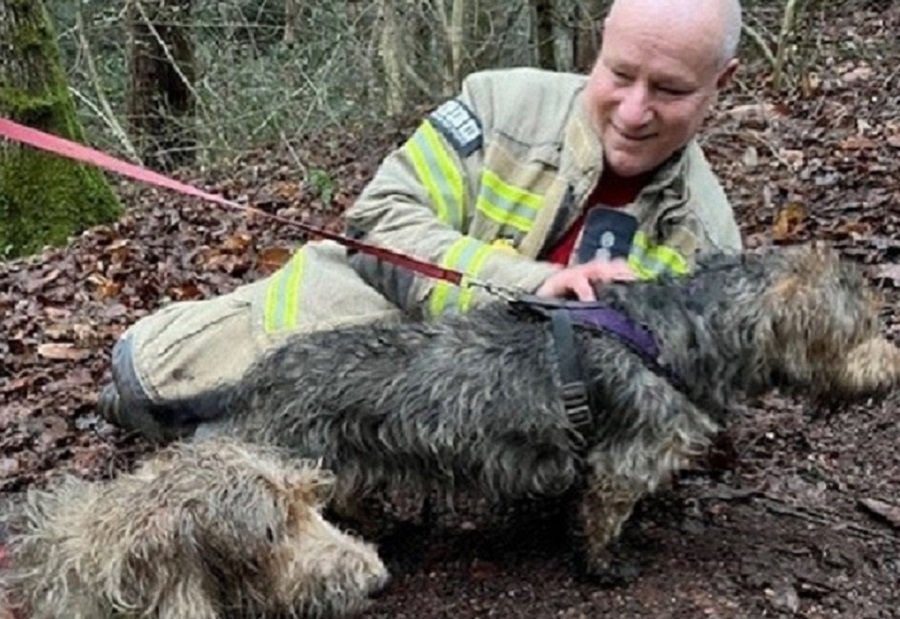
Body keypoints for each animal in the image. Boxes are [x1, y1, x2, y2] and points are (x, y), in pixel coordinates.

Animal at [199, 245, 900, 580]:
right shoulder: (624, 466)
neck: (678, 331)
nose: (893, 368)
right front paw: (603, 567)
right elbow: (603, 524)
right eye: (863, 328)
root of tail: (252, 383)